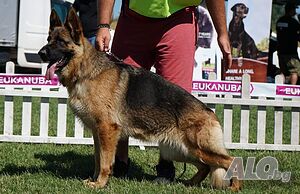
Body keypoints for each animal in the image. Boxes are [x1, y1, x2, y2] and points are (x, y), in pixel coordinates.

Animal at [38, 8, 243, 191]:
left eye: (61, 42)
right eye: (48, 40)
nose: (40, 53)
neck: (86, 70)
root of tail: (210, 113)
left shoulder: (107, 130)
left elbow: (104, 162)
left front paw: (100, 184)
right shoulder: (98, 133)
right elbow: (98, 159)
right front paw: (94, 180)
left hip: (198, 148)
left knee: (231, 161)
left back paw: (235, 187)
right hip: (180, 150)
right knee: (205, 166)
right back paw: (190, 183)